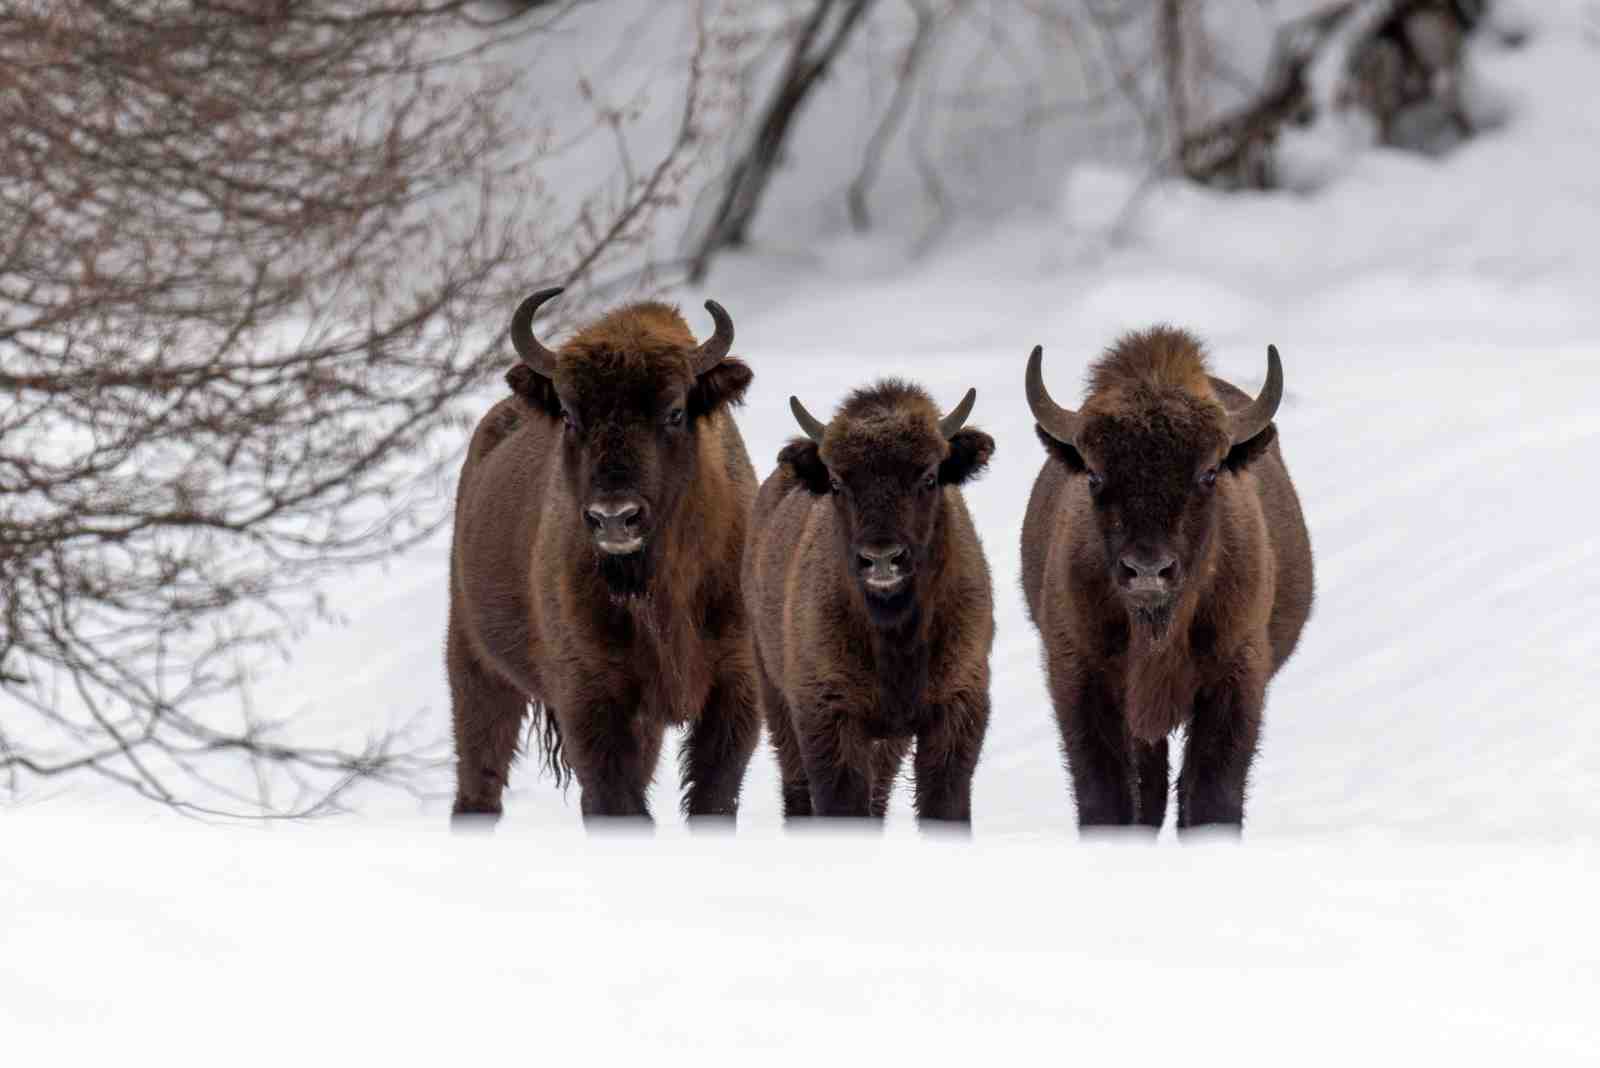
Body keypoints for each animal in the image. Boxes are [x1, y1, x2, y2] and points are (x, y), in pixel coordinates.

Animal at [447, 288, 760, 824]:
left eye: (674, 411)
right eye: (572, 416)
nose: (615, 517)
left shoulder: (734, 688)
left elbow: (712, 799)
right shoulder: (591, 698)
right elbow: (615, 802)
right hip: (476, 667)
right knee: (479, 784)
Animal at [745, 380, 996, 823]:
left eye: (929, 476)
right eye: (837, 482)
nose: (881, 557)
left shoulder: (955, 711)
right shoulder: (828, 719)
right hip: (775, 699)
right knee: (796, 789)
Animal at [1020, 327, 1313, 832]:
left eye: (1209, 472)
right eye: (1094, 474)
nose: (1147, 570)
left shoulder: (1236, 676)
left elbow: (1211, 795)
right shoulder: (1081, 676)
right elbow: (1108, 797)